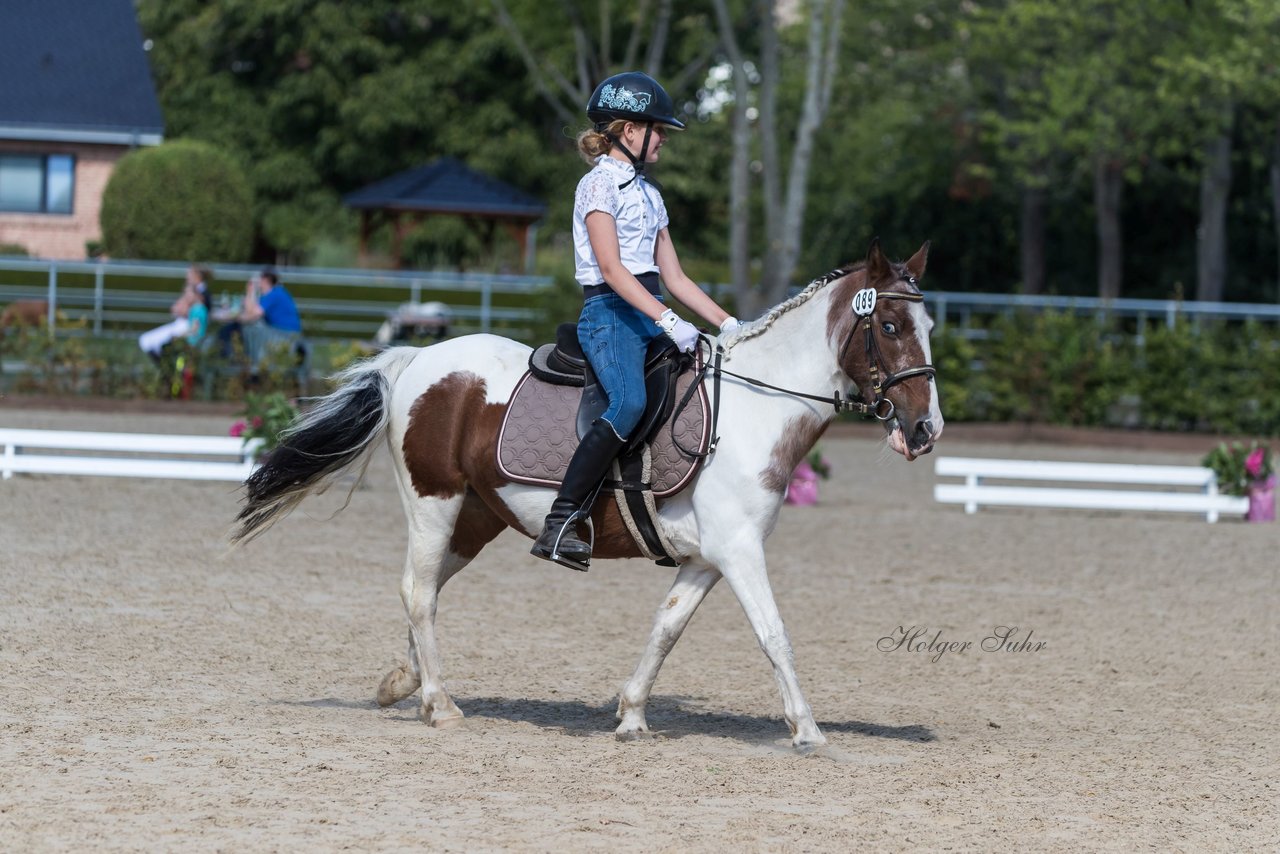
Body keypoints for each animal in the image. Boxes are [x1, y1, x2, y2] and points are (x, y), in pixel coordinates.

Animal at [235, 239, 947, 747]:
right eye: (888, 325)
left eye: (929, 325)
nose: (924, 429)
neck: (753, 407)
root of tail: (417, 360)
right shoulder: (740, 551)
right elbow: (774, 634)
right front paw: (807, 729)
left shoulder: (707, 559)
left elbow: (666, 628)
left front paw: (631, 716)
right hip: (434, 502)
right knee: (417, 590)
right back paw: (438, 704)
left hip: (476, 518)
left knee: (427, 590)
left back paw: (403, 684)